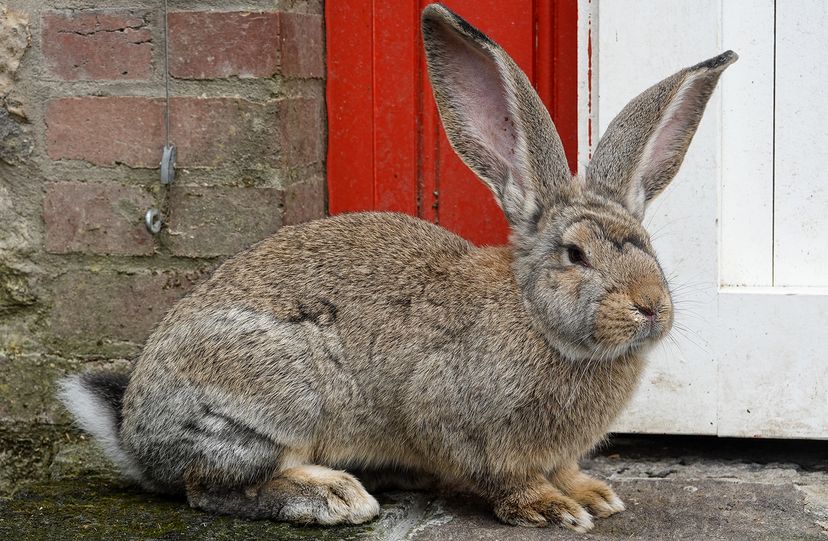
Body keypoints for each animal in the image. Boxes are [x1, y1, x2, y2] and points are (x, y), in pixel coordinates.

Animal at [57, 3, 736, 533]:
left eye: (647, 245)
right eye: (575, 255)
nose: (652, 307)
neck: (535, 317)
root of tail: (134, 432)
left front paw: (593, 494)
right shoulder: (460, 421)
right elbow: (504, 479)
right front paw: (552, 508)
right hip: (277, 400)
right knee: (210, 487)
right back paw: (331, 496)